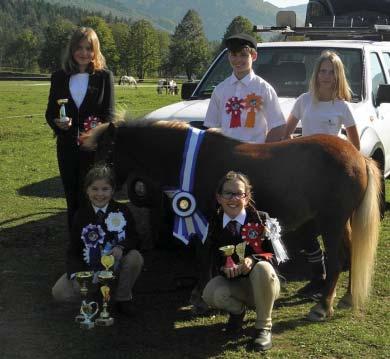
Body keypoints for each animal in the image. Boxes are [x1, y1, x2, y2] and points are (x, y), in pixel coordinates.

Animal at [83, 119, 380, 324]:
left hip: (332, 223)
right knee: (351, 254)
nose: (97, 186)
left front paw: (199, 298)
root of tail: (358, 156)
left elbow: (202, 255)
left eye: (107, 152)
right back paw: (347, 298)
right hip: (342, 223)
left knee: (336, 261)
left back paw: (322, 307)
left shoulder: (202, 218)